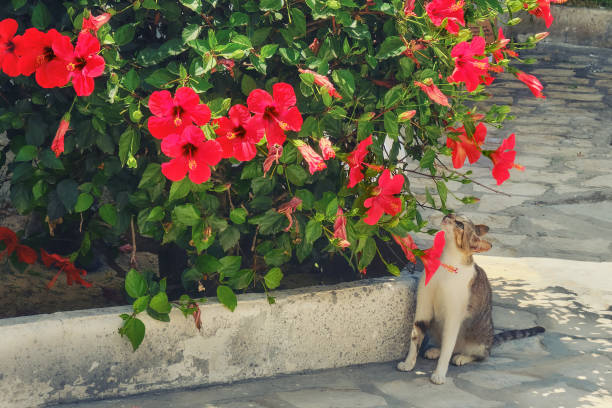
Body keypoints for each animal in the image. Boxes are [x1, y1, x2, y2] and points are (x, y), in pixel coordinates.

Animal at [396, 215, 544, 384]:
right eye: (453, 214)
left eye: (460, 224)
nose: (448, 215)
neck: (446, 264)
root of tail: (490, 340)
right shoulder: (424, 308)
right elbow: (415, 339)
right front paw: (408, 364)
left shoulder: (453, 316)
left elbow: (448, 348)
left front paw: (439, 374)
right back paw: (435, 351)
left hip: (479, 340)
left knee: (481, 355)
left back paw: (462, 357)